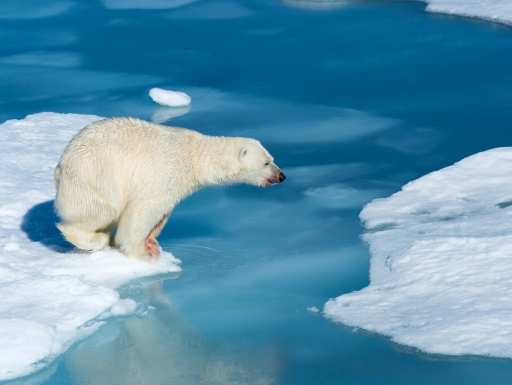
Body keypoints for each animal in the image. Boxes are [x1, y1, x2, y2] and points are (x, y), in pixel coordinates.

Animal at [54, 118, 286, 258]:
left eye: (273, 158)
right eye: (266, 163)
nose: (281, 176)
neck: (195, 157)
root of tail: (61, 165)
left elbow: (163, 211)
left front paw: (151, 242)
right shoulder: (166, 172)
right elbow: (144, 208)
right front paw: (142, 251)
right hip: (94, 174)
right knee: (102, 210)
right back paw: (94, 239)